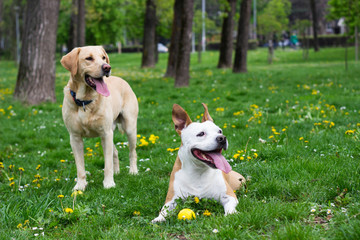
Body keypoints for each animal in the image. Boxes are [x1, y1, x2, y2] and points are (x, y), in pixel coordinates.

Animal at [59, 46, 139, 190]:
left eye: (103, 57)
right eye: (89, 58)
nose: (107, 67)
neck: (85, 101)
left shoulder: (106, 133)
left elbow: (107, 164)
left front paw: (109, 184)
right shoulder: (75, 137)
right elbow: (80, 167)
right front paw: (80, 186)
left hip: (129, 128)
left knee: (132, 152)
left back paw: (133, 171)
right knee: (115, 152)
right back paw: (117, 172)